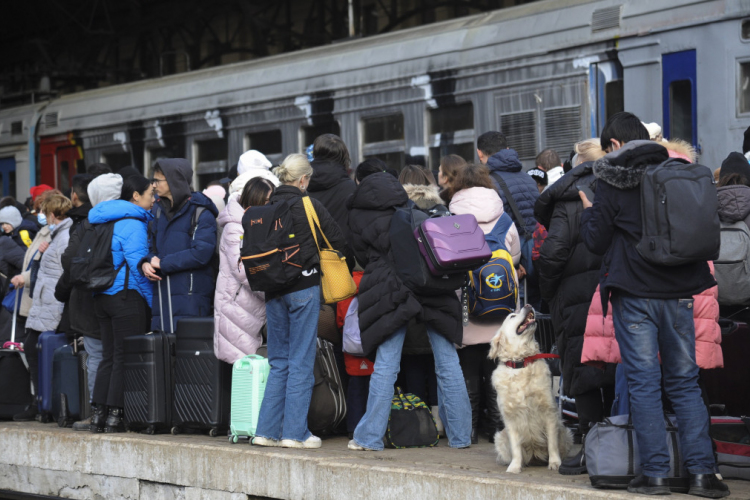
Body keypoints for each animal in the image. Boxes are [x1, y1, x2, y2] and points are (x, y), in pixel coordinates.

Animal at [490, 304, 572, 472]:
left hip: (566, 432)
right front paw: (514, 467)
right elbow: (516, 447)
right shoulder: (511, 417)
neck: (522, 362)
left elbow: (552, 443)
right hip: (500, 437)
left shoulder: (549, 412)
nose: (528, 305)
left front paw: (555, 463)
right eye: (512, 316)